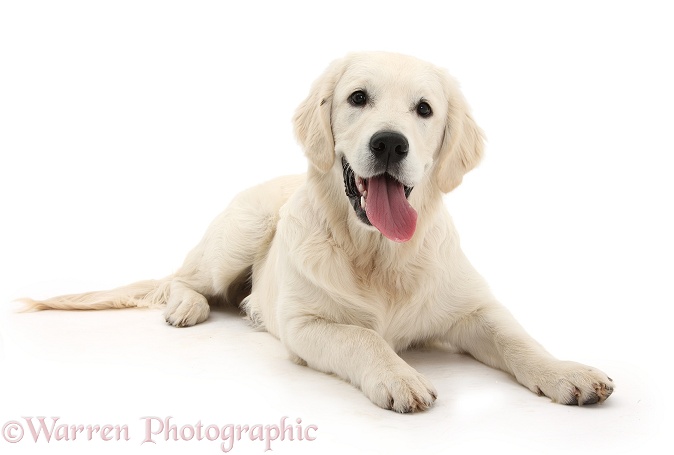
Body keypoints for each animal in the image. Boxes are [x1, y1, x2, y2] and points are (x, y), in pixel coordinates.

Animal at [25, 52, 616, 414]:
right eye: (357, 98)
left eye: (424, 109)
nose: (389, 143)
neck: (379, 253)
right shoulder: (305, 324)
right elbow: (364, 337)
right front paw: (398, 376)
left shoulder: (473, 308)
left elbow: (517, 338)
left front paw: (567, 372)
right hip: (240, 231)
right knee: (183, 279)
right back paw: (188, 306)